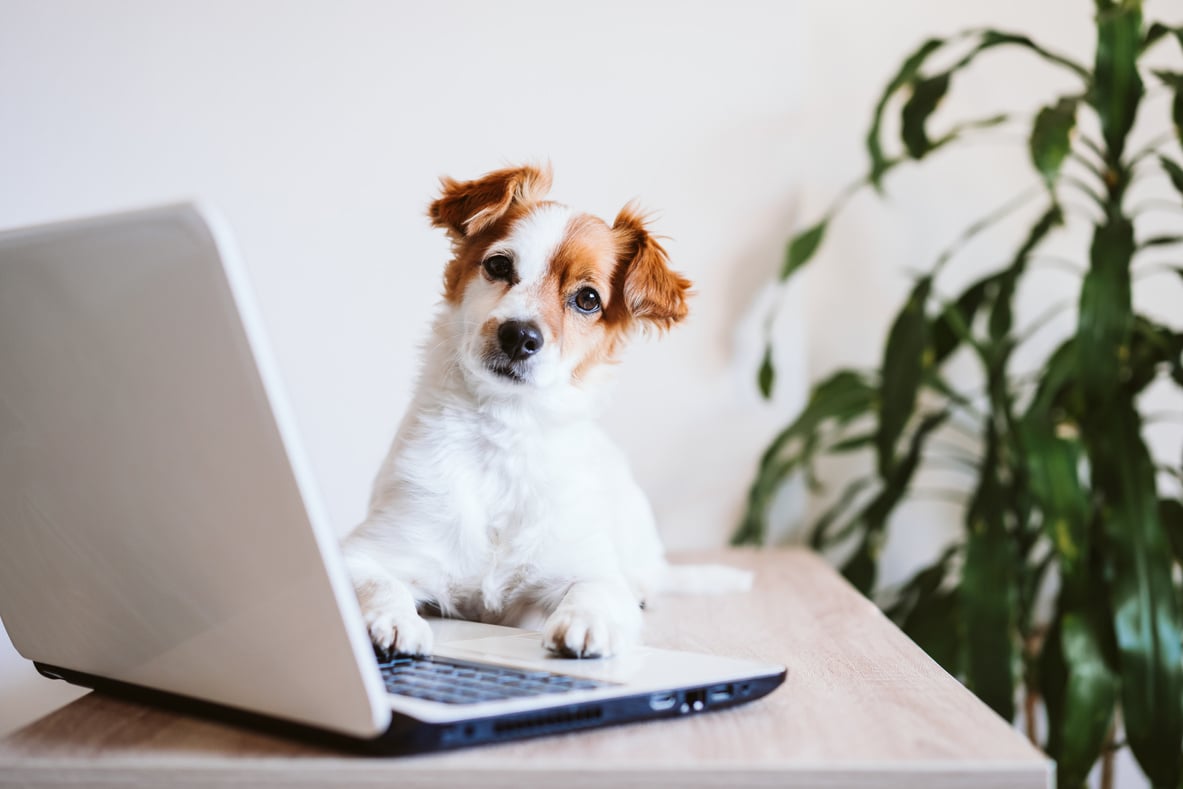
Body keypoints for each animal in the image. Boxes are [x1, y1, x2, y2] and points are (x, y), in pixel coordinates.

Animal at [343, 165, 747, 662]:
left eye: (588, 299)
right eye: (499, 265)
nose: (519, 335)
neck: (504, 432)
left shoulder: (589, 568)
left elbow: (596, 591)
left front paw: (586, 623)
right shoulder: (365, 552)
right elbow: (379, 584)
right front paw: (394, 621)